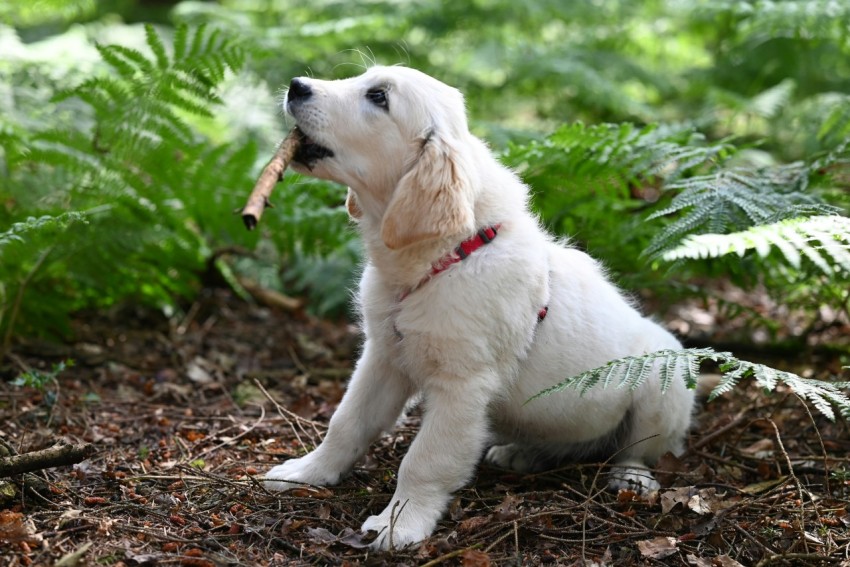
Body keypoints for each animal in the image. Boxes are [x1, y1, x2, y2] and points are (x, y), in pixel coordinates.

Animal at [264, 65, 696, 552]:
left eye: (378, 97)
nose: (297, 85)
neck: (443, 257)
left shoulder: (463, 384)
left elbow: (425, 459)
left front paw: (400, 523)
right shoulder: (384, 357)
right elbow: (347, 422)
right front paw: (307, 472)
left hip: (663, 382)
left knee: (639, 449)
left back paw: (631, 478)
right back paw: (522, 453)